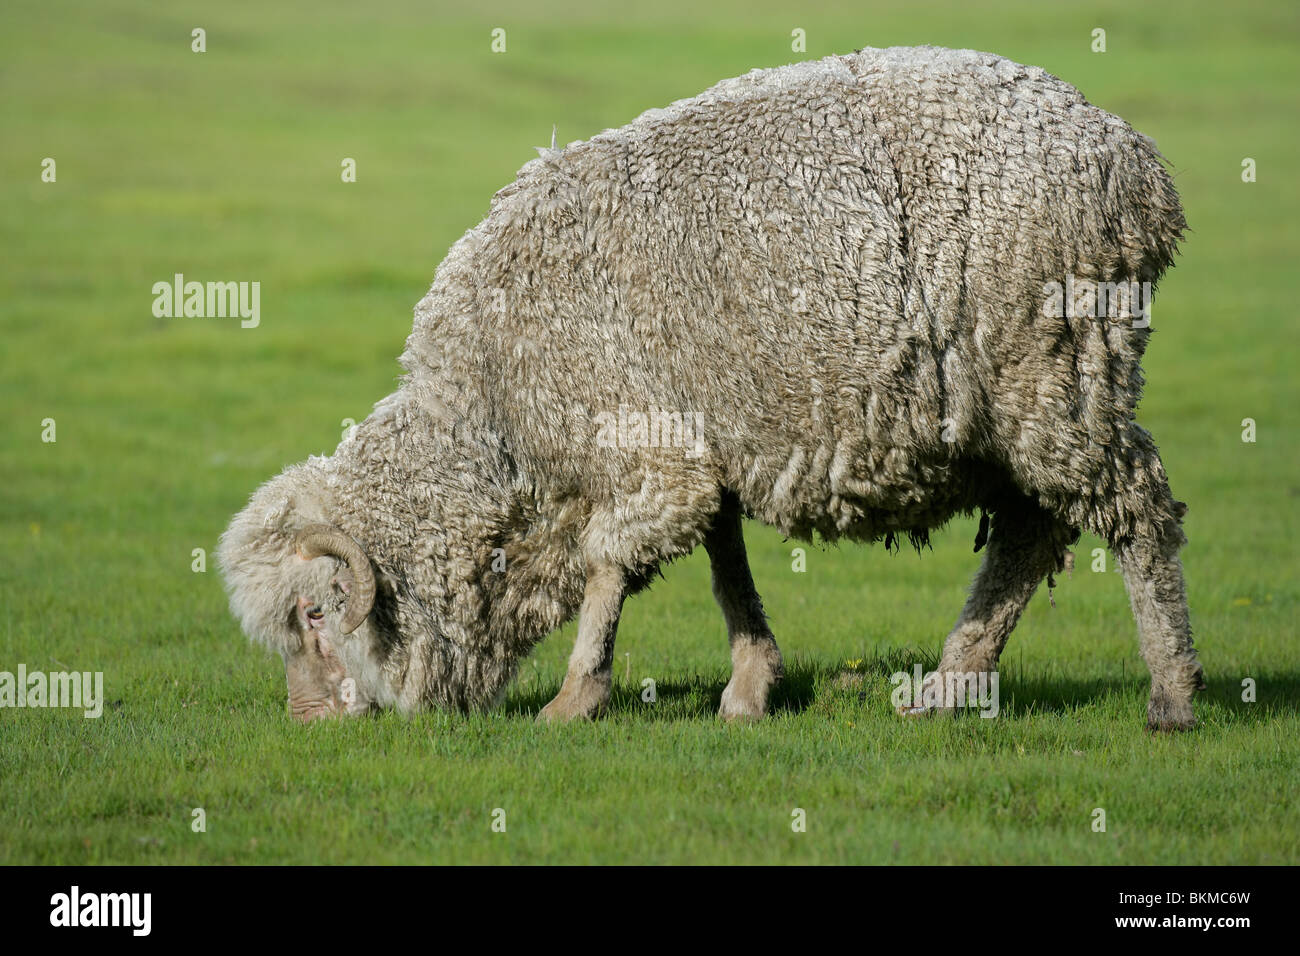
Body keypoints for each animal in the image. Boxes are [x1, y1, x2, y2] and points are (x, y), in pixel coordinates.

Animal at [218, 42, 1201, 733]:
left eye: (315, 615)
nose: (309, 722)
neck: (495, 414)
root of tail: (1139, 165)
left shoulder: (641, 446)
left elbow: (610, 564)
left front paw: (577, 696)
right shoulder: (703, 437)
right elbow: (725, 561)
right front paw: (751, 683)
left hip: (1056, 365)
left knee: (1136, 508)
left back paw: (1172, 696)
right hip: (1012, 402)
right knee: (1032, 533)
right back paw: (949, 688)